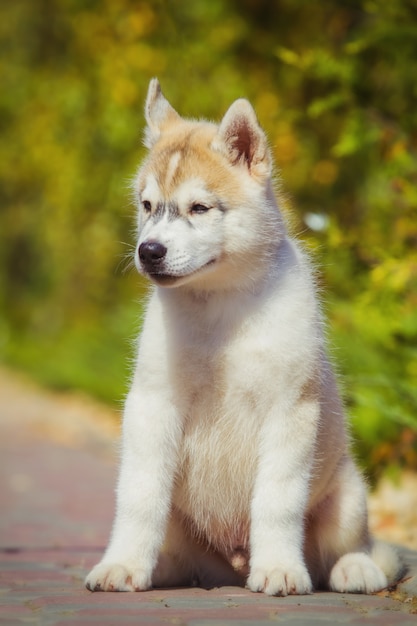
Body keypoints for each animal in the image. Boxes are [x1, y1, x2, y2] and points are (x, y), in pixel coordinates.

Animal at [85, 79, 400, 596]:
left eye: (199, 207)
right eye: (147, 206)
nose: (148, 251)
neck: (220, 311)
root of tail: (229, 567)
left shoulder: (290, 411)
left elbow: (276, 502)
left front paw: (279, 569)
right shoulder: (153, 405)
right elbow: (139, 496)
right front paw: (123, 564)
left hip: (348, 497)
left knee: (349, 549)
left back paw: (355, 569)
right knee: (180, 554)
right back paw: (163, 567)